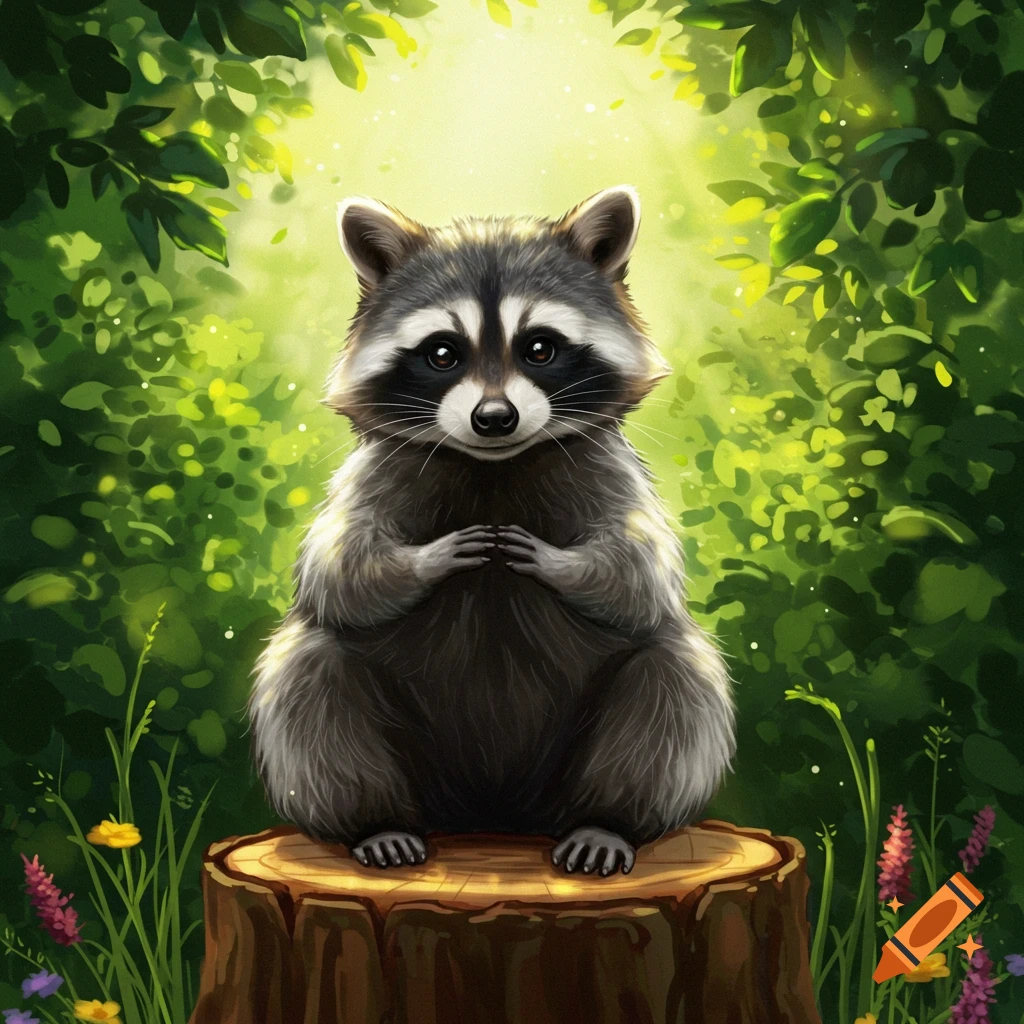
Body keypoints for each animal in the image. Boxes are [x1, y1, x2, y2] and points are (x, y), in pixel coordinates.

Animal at [249, 185, 735, 876]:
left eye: (540, 347)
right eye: (442, 353)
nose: (495, 418)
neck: (494, 466)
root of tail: (493, 815)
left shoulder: (611, 471)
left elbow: (641, 578)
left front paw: (560, 563)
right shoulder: (374, 474)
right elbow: (337, 572)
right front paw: (430, 558)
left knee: (675, 680)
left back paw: (610, 821)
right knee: (309, 674)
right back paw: (374, 822)